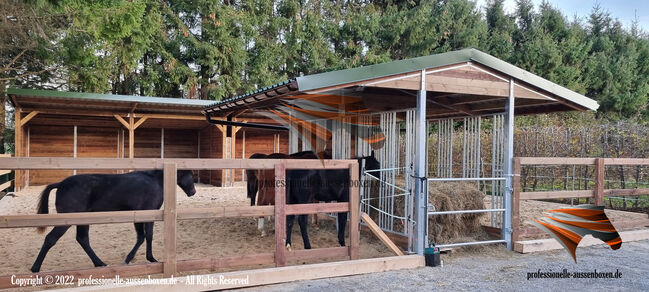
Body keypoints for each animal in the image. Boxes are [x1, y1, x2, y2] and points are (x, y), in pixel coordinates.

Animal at [30, 170, 196, 272]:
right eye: (190, 174)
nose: (193, 192)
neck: (155, 181)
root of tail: (60, 184)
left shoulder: (138, 216)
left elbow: (141, 237)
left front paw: (130, 259)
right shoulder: (148, 214)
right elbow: (147, 236)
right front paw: (150, 259)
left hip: (83, 220)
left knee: (82, 239)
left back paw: (100, 263)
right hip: (66, 220)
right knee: (51, 238)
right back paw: (35, 268)